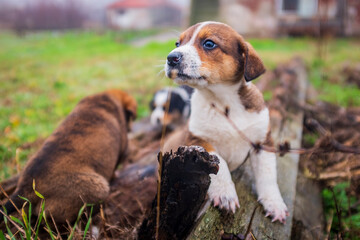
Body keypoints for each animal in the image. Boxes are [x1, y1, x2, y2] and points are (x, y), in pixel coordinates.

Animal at [165, 22, 288, 223]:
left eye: (209, 44)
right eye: (178, 43)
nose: (170, 58)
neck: (223, 101)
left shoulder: (262, 143)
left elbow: (268, 176)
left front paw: (274, 203)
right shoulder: (199, 140)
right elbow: (220, 164)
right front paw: (225, 194)